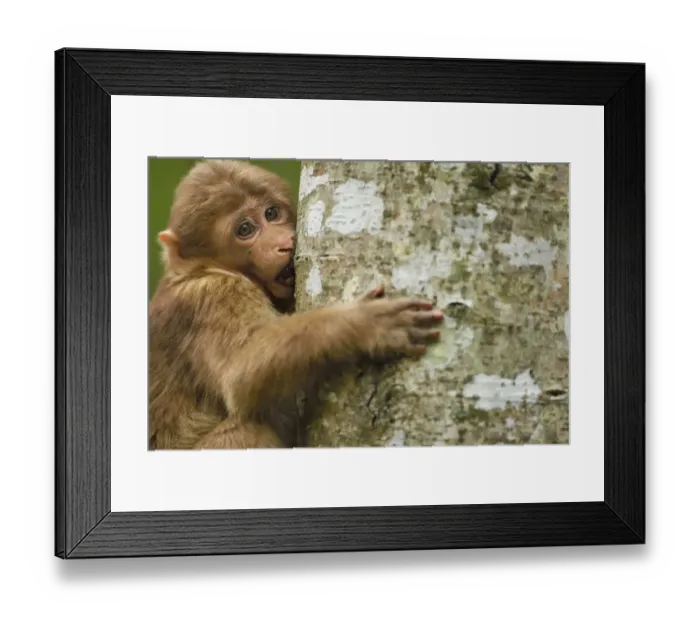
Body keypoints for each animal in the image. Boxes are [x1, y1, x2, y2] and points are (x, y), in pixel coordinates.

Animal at [148, 159, 444, 450]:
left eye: (271, 213)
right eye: (245, 229)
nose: (282, 244)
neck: (203, 268)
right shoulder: (212, 296)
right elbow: (240, 373)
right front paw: (364, 323)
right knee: (248, 430)